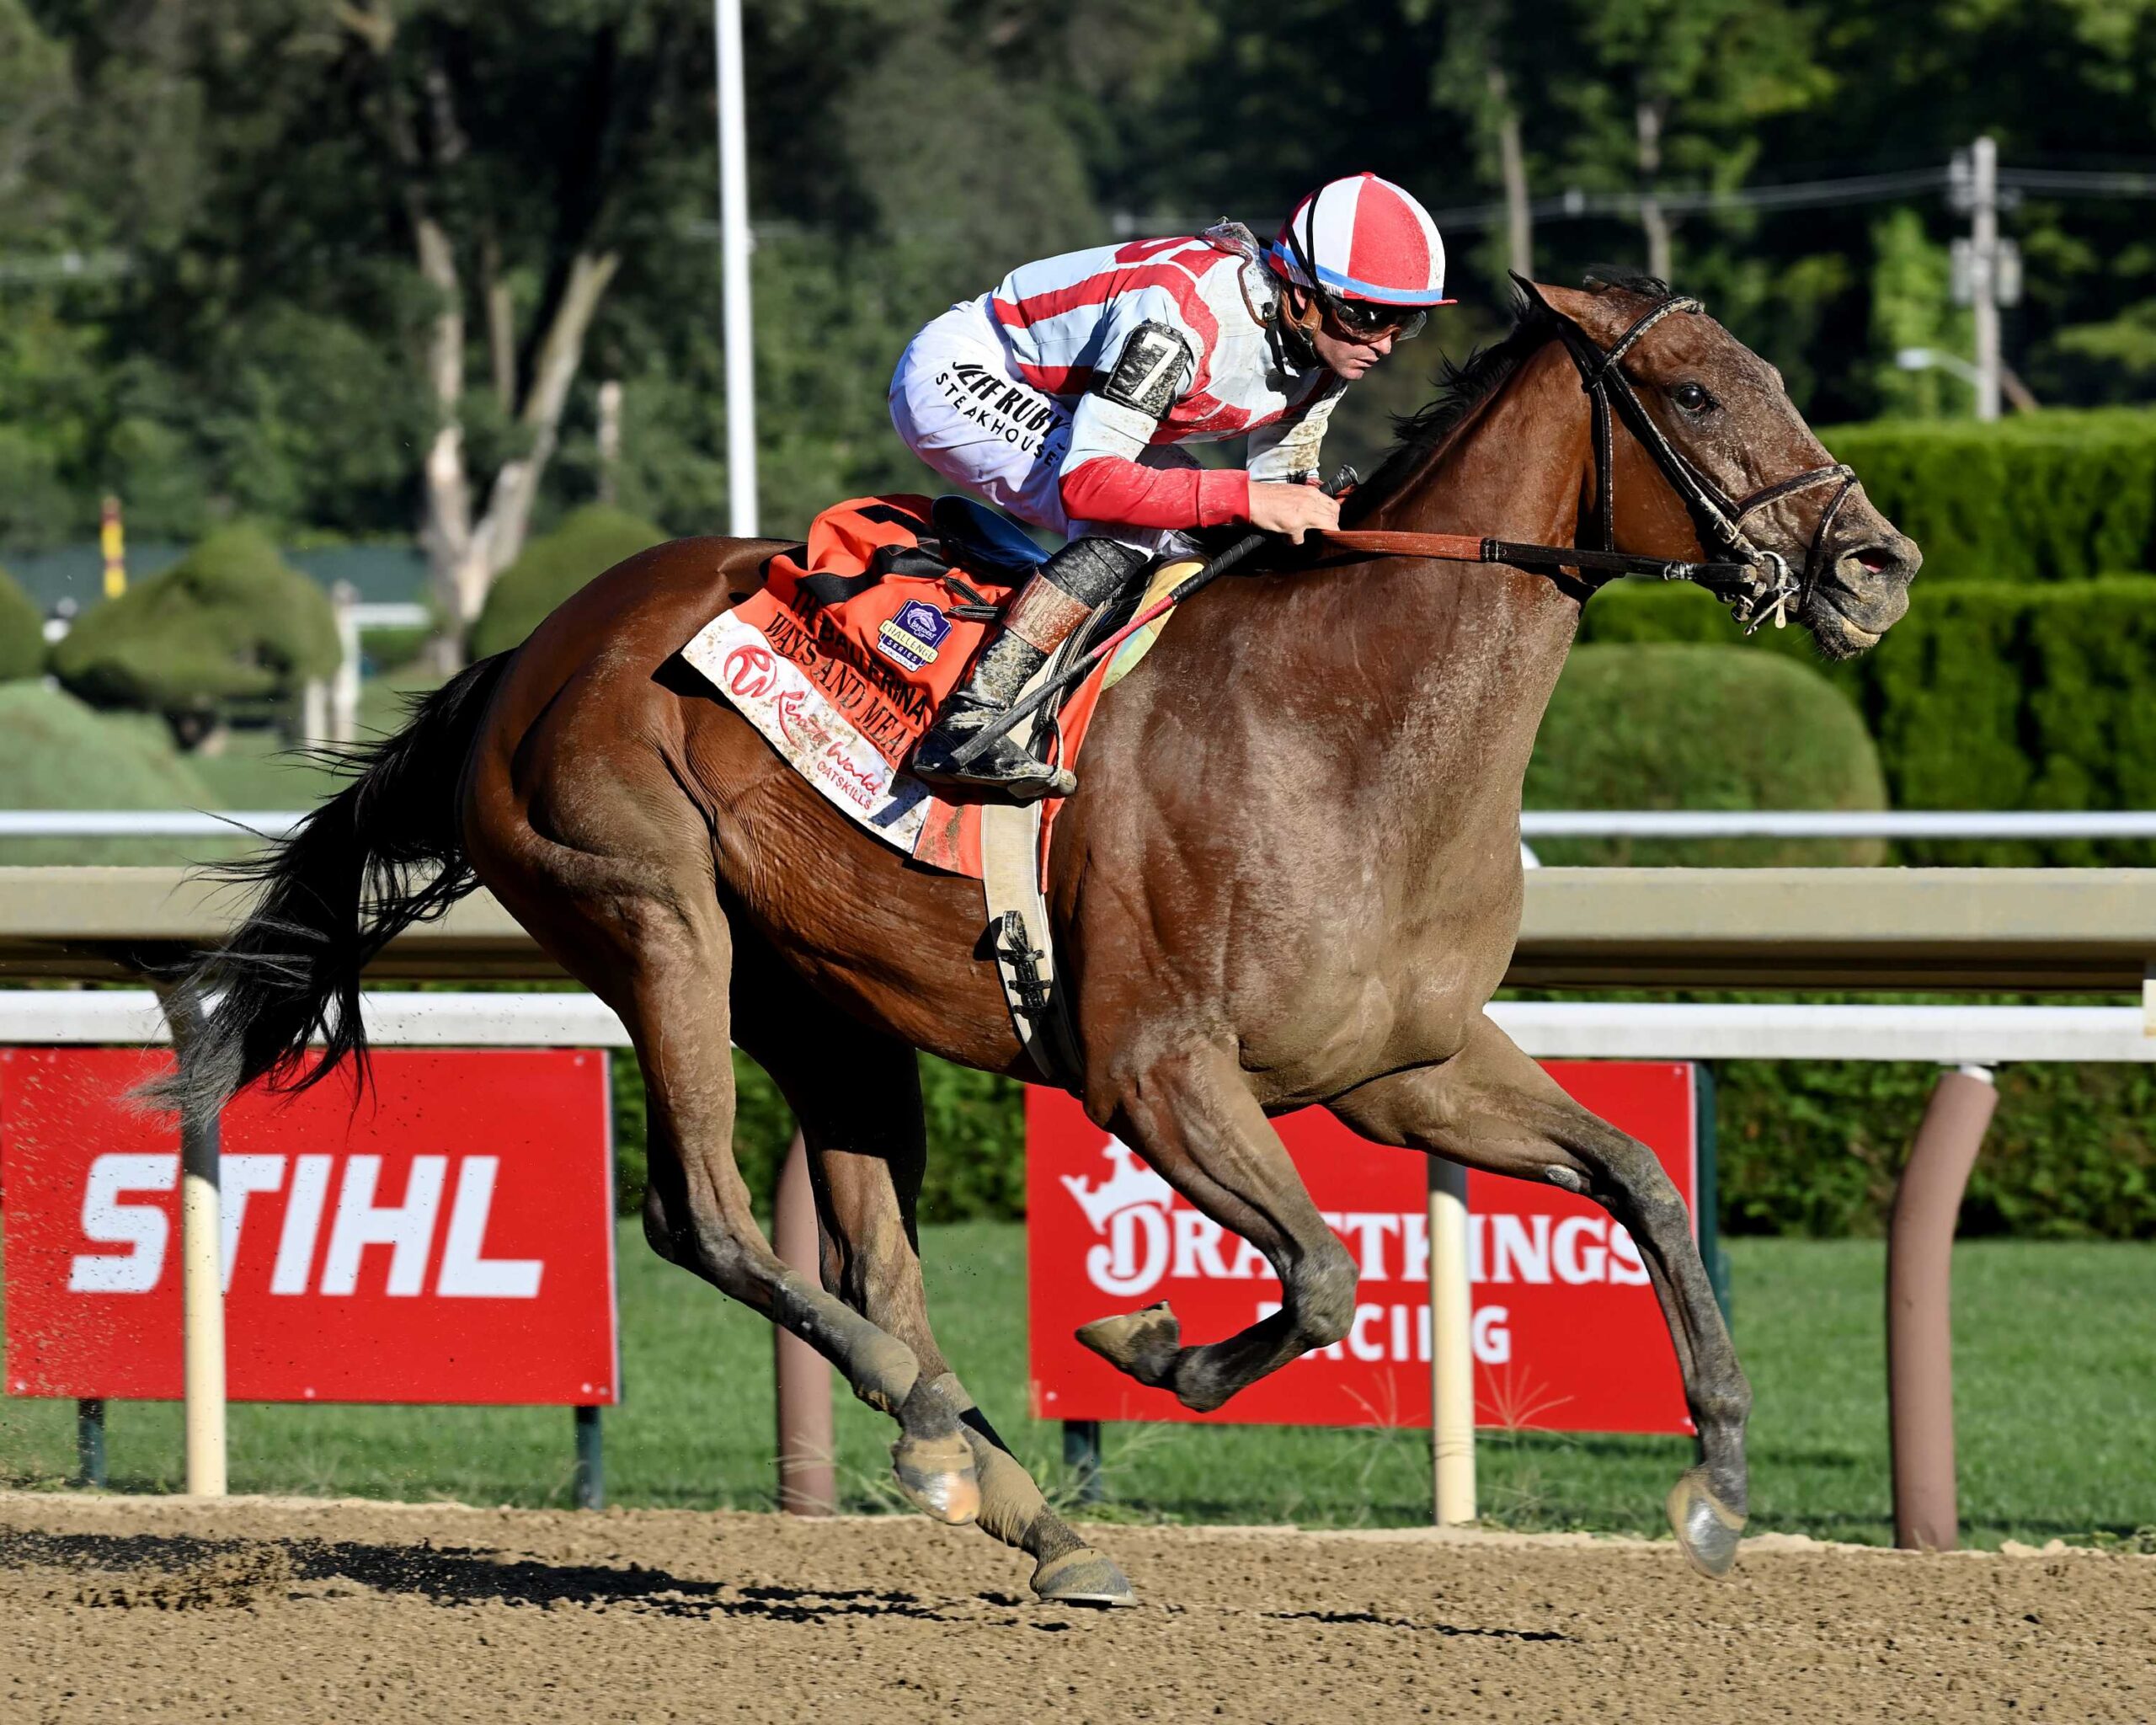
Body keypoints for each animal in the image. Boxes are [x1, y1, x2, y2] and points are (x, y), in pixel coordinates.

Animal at [161, 274, 1918, 1607]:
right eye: (1696, 393)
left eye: (1769, 375)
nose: (1879, 564)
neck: (1349, 722)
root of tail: (526, 648)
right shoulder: (1156, 1070)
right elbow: (1326, 1273)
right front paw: (1145, 1339)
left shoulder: (1403, 1065)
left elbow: (1640, 1179)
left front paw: (1719, 1478)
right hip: (657, 921)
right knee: (704, 1214)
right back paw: (948, 1432)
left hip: (824, 999)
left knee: (869, 1250)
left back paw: (1016, 1503)